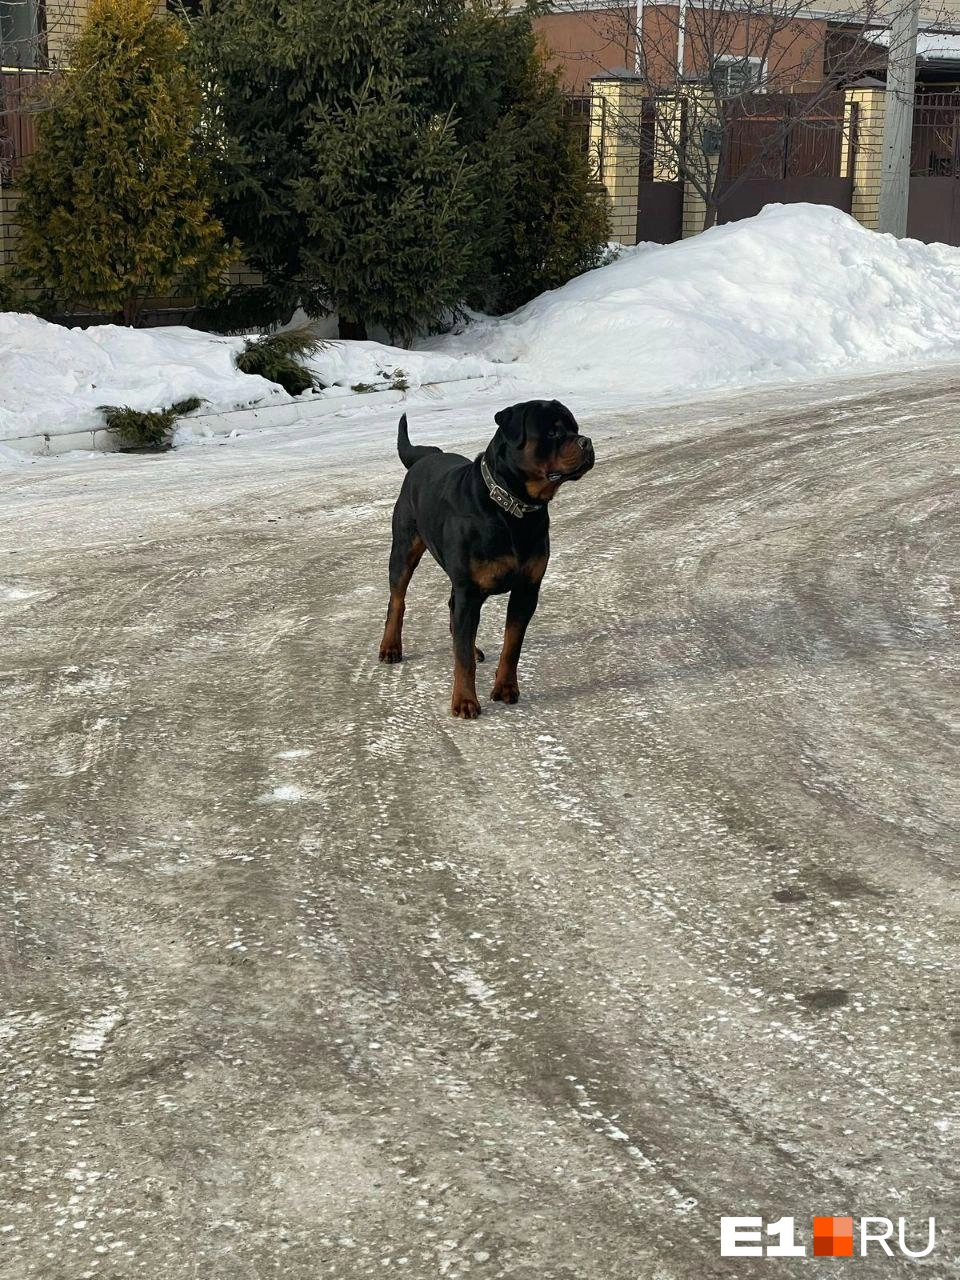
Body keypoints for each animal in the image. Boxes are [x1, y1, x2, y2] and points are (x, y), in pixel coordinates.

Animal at [378, 396, 593, 716]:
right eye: (553, 432)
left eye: (575, 428)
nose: (586, 442)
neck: (513, 508)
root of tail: (423, 458)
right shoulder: (469, 590)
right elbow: (463, 660)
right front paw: (465, 701)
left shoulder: (526, 589)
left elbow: (512, 645)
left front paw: (505, 688)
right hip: (404, 548)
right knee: (398, 600)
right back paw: (390, 646)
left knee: (452, 610)